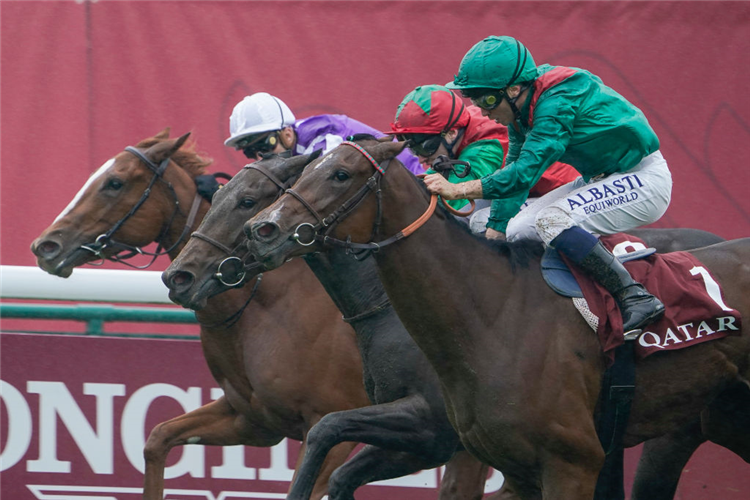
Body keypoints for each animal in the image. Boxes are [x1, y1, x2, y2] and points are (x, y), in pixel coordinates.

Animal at [30, 130, 374, 500]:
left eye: (114, 182)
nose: (45, 246)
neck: (269, 306)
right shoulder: (253, 419)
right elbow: (158, 438)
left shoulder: (329, 425)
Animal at [247, 138, 750, 500]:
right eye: (303, 172)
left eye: (340, 174)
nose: (263, 230)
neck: (493, 317)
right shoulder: (514, 466)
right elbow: (329, 440)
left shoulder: (571, 462)